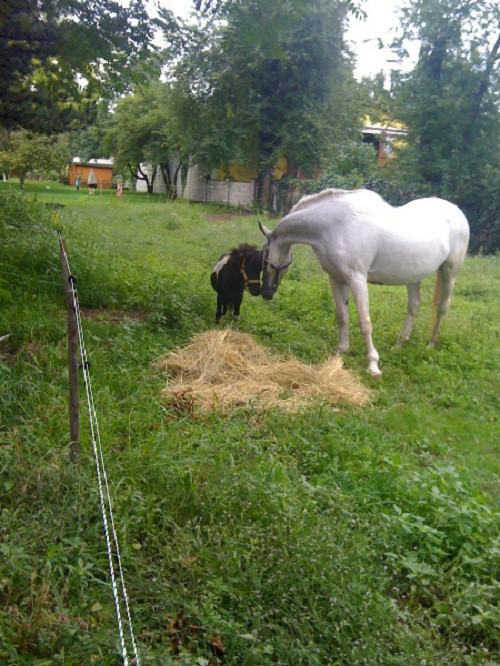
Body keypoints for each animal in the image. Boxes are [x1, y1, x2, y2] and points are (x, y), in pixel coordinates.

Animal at [259, 188, 470, 376]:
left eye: (265, 256)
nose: (266, 292)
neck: (334, 224)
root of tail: (457, 212)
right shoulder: (336, 279)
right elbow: (342, 316)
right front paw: (340, 352)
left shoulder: (357, 279)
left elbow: (364, 322)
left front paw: (373, 365)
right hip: (414, 277)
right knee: (414, 307)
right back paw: (399, 345)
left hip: (450, 271)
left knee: (442, 307)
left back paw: (431, 344)